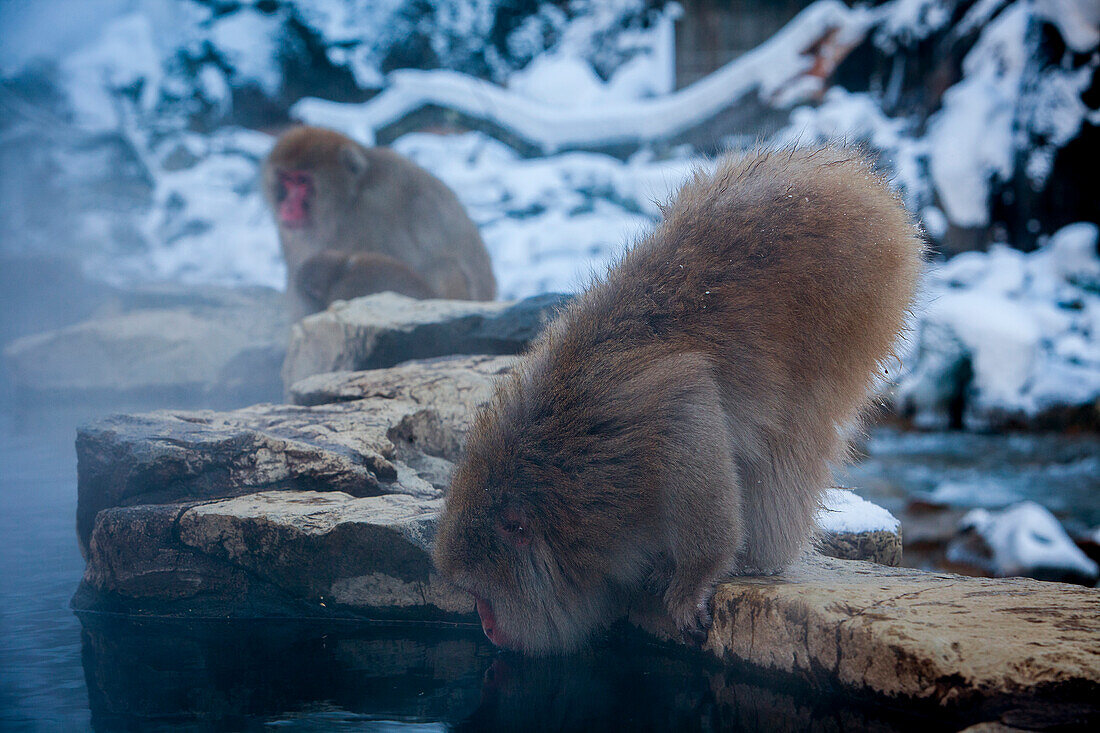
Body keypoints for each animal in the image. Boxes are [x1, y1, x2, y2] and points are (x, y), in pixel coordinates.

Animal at [261, 127, 495, 314]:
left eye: (302, 181)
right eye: (286, 179)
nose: (286, 207)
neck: (347, 201)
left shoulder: (374, 212)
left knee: (443, 266)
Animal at [433, 147, 924, 651]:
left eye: (480, 593)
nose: (486, 626)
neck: (561, 490)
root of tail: (861, 187)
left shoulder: (623, 434)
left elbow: (686, 406)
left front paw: (696, 576)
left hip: (852, 305)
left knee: (793, 431)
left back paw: (758, 555)